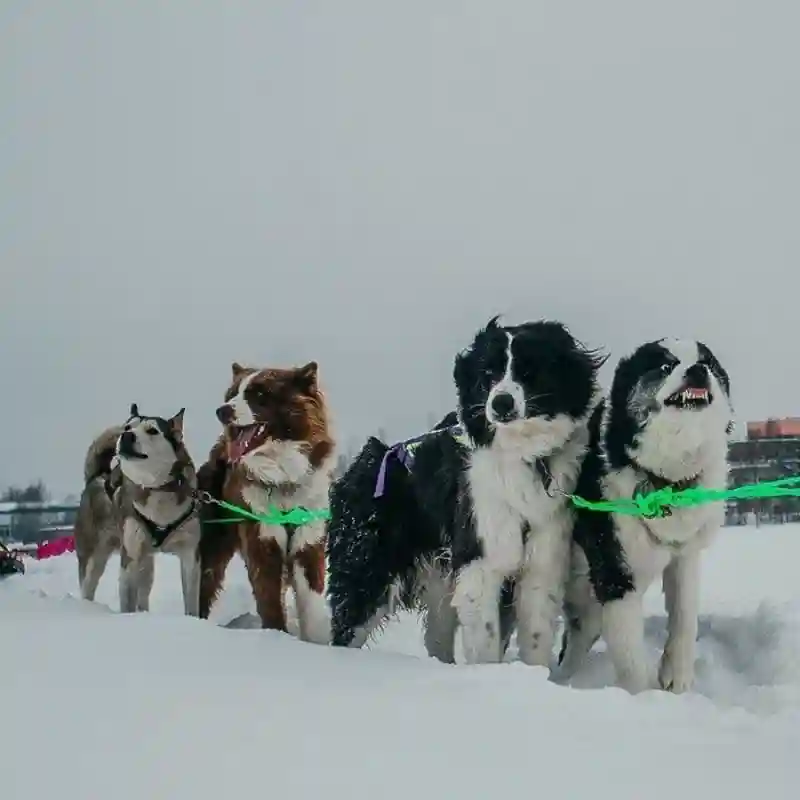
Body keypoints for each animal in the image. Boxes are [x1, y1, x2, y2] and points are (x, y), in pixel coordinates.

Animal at [200, 362, 338, 644]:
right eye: (233, 393)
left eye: (260, 394)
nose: (222, 410)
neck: (283, 480)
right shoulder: (263, 540)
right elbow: (270, 599)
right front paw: (276, 639)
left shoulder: (308, 542)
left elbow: (312, 603)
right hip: (213, 549)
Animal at [328, 316, 604, 664]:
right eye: (488, 374)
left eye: (529, 370)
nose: (500, 403)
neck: (522, 457)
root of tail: (368, 460)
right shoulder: (481, 562)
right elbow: (485, 642)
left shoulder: (542, 565)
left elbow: (537, 637)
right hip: (366, 571)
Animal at [560, 338, 736, 692]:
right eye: (666, 366)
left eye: (709, 362)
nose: (698, 370)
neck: (666, 479)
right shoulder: (615, 572)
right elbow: (630, 658)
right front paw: (644, 698)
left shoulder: (684, 556)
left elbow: (684, 617)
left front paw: (676, 678)